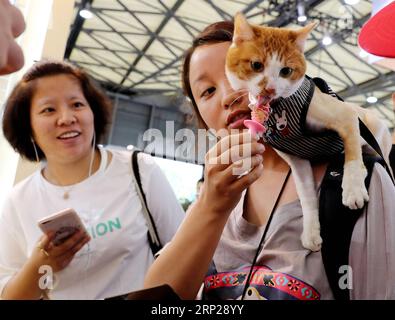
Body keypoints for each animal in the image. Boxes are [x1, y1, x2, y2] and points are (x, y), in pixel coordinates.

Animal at [226, 13, 392, 252]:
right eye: (256, 65)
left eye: (286, 71)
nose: (270, 88)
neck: (280, 109)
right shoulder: (297, 161)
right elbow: (306, 197)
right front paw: (311, 232)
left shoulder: (346, 115)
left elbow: (352, 158)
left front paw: (352, 190)